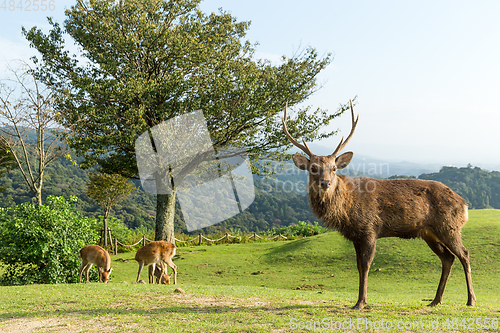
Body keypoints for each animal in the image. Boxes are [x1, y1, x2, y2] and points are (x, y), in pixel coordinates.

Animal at [284, 101, 474, 308]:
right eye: (313, 168)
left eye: (333, 168)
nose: (325, 183)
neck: (347, 210)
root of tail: (464, 205)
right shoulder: (356, 236)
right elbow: (358, 267)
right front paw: (359, 300)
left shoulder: (370, 229)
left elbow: (366, 266)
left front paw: (361, 302)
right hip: (429, 232)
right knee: (448, 258)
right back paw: (435, 300)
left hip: (449, 226)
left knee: (464, 254)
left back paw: (470, 300)